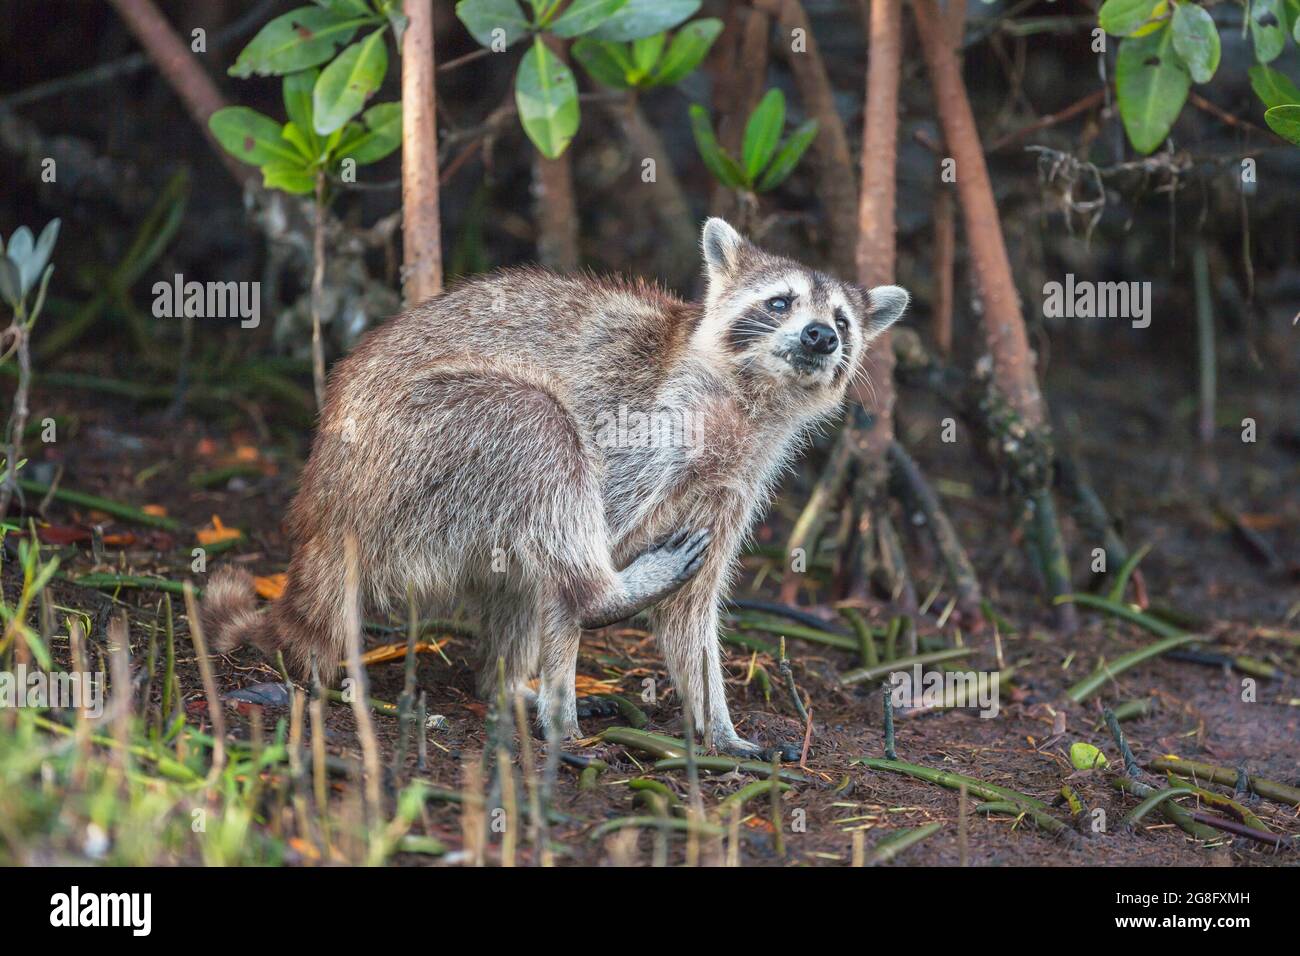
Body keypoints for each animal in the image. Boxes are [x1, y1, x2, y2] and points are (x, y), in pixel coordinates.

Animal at [205, 218, 915, 754]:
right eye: (780, 302)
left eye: (843, 322)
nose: (820, 336)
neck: (751, 401)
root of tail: (321, 515)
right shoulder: (644, 425)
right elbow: (577, 552)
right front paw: (565, 699)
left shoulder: (734, 482)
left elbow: (690, 613)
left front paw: (715, 719)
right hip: (411, 453)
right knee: (539, 436)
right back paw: (593, 607)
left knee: (515, 574)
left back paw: (506, 683)